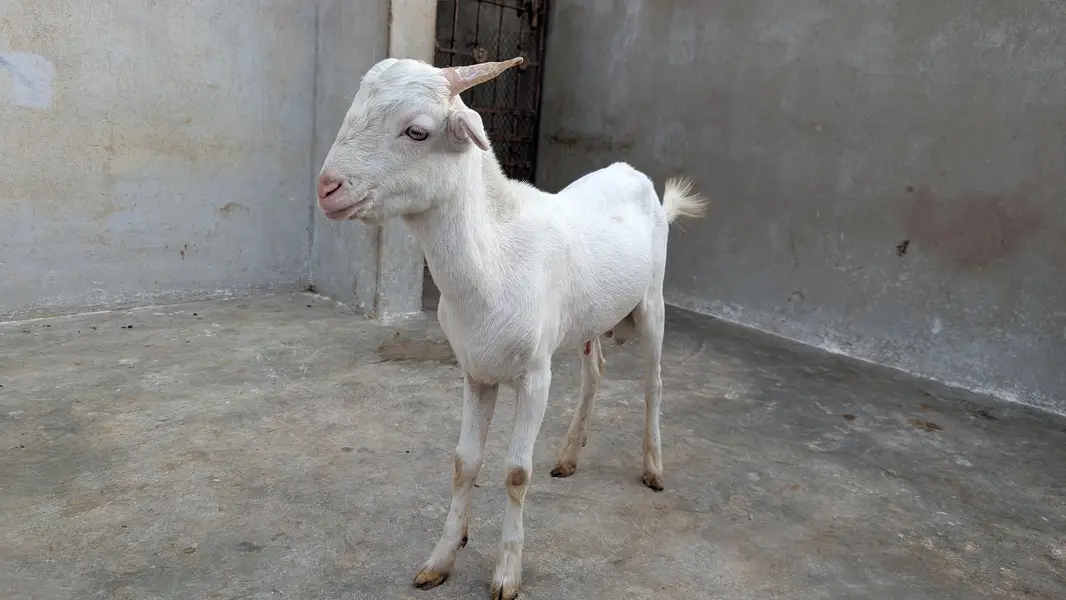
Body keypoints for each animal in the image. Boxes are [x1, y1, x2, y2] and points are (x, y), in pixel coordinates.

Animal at [316, 56, 708, 600]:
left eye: (417, 131)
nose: (327, 189)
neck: (495, 256)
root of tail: (634, 177)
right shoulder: (476, 372)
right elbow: (464, 463)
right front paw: (441, 558)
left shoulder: (535, 375)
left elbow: (517, 473)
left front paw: (506, 573)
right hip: (588, 318)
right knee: (595, 373)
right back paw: (568, 456)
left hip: (652, 303)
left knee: (653, 383)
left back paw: (652, 467)